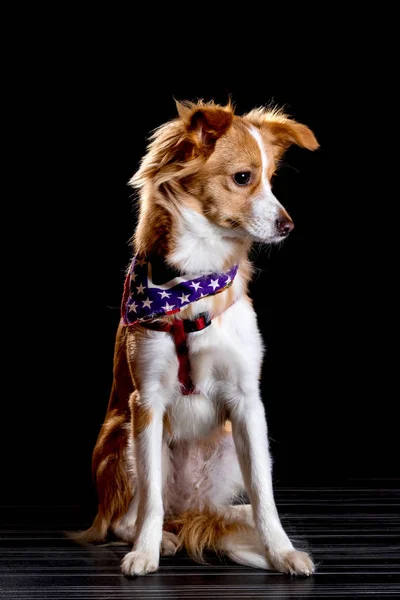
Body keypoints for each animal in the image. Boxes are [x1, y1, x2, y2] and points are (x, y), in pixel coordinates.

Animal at [74, 99, 318, 576]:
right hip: (121, 438)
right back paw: (161, 539)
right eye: (243, 177)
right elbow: (150, 498)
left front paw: (281, 552)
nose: (288, 225)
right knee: (127, 517)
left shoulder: (247, 401)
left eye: (270, 178)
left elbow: (265, 493)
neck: (193, 281)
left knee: (233, 506)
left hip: (225, 444)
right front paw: (145, 553)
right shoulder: (146, 401)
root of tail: (188, 508)